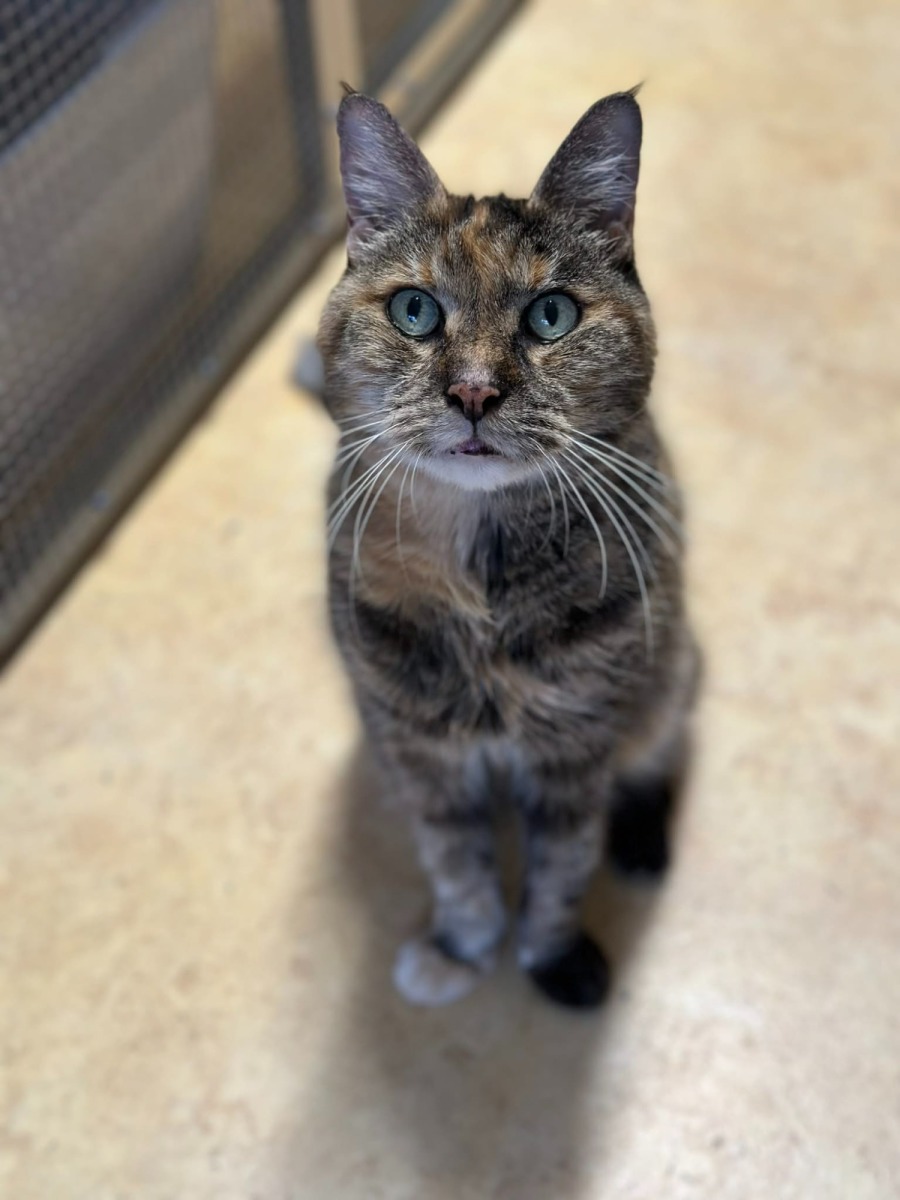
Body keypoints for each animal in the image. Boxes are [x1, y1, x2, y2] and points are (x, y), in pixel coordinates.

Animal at [316, 86, 699, 1009]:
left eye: (550, 315)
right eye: (414, 310)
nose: (474, 391)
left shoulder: (577, 746)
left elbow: (562, 867)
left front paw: (551, 958)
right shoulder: (420, 751)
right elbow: (455, 861)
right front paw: (462, 947)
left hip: (671, 674)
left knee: (665, 748)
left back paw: (643, 846)